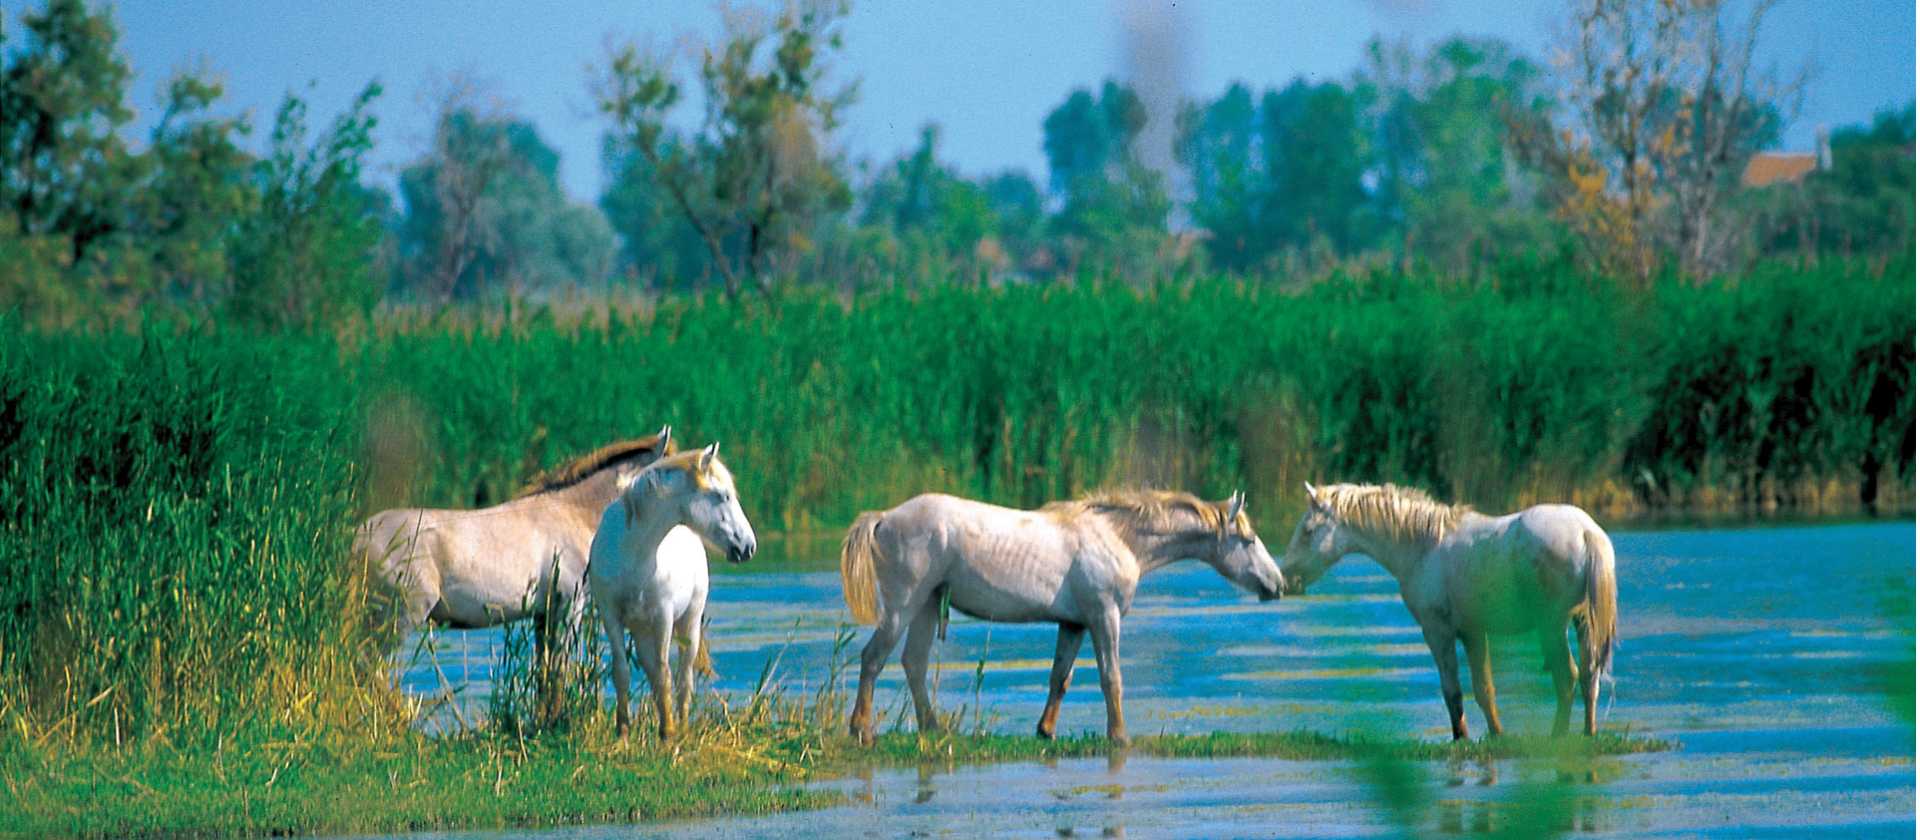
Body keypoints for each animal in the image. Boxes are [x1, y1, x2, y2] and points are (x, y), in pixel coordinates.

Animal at [354, 427, 690, 679]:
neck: (573, 513)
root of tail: (358, 537)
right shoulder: (569, 607)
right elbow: (559, 671)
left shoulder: (544, 614)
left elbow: (545, 673)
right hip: (396, 618)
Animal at [590, 443, 758, 738]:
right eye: (723, 495)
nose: (748, 547)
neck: (632, 552)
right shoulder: (611, 617)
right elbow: (623, 671)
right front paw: (623, 731)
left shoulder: (663, 616)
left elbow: (664, 673)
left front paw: (668, 732)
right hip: (641, 630)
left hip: (688, 623)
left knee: (683, 677)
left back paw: (681, 725)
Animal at [838, 489, 1285, 747]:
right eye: (1248, 540)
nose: (1278, 584)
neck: (1119, 537)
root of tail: (885, 517)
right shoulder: (1104, 617)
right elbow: (1111, 679)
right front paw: (1119, 736)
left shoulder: (1073, 625)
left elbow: (1060, 679)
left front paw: (1046, 730)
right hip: (903, 606)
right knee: (873, 659)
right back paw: (861, 729)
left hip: (928, 606)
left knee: (913, 663)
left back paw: (933, 727)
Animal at [1278, 482, 1618, 739]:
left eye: (1308, 530)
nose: (1286, 579)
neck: (1423, 545)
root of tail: (1586, 532)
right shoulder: (1473, 633)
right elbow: (1484, 690)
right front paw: (1496, 736)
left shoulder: (1437, 632)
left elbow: (1452, 691)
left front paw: (1461, 739)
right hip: (1582, 622)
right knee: (1589, 675)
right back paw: (1588, 733)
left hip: (1552, 626)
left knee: (1568, 677)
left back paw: (1558, 737)